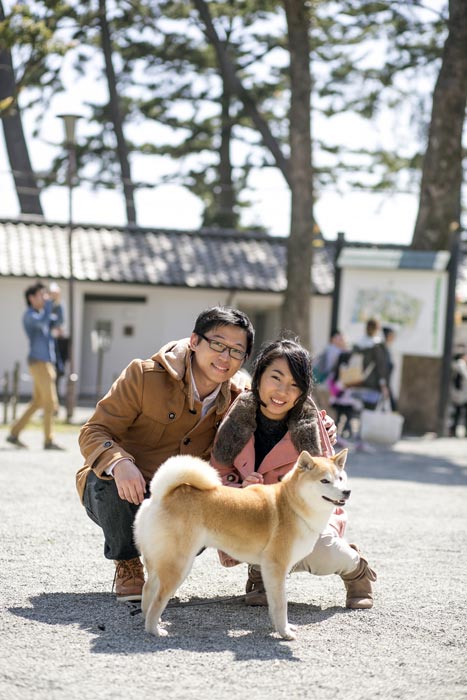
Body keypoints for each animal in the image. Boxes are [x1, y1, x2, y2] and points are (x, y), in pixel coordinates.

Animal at [133, 448, 349, 640]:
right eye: (324, 480)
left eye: (340, 478)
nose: (347, 491)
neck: (292, 505)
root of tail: (160, 496)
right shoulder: (276, 566)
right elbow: (281, 605)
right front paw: (284, 633)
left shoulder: (270, 570)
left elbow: (273, 604)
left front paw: (279, 627)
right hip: (179, 565)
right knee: (158, 599)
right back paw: (154, 629)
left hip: (160, 561)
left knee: (148, 589)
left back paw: (148, 619)